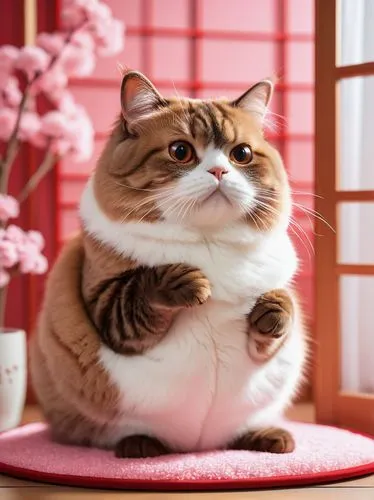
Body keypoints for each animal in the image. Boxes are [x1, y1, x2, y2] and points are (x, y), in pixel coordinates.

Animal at [30, 69, 306, 458]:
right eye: (180, 151)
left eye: (241, 154)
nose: (219, 171)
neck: (207, 242)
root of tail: (196, 447)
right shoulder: (105, 305)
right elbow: (140, 291)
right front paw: (189, 283)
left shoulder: (273, 329)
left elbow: (279, 314)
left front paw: (272, 308)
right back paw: (140, 445)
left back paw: (269, 437)